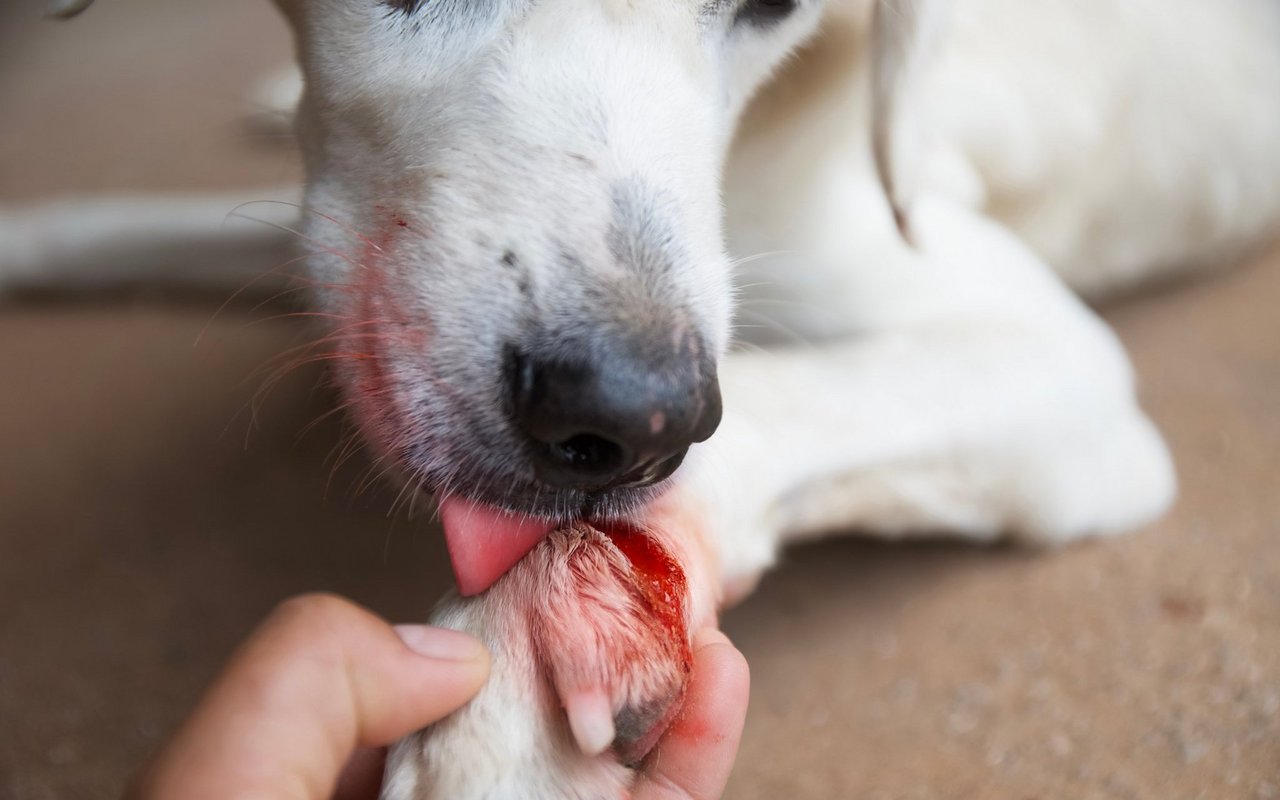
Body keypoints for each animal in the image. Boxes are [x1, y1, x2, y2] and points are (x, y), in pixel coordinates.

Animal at [10, 0, 1280, 793]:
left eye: (773, 0)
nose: (624, 420)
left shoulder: (1056, 362)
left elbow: (765, 401)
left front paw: (529, 661)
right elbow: (130, 227)